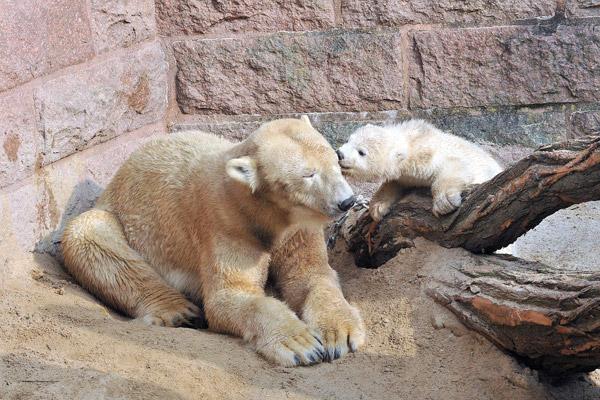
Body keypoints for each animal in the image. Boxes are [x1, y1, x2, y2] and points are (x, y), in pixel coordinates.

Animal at [63, 116, 368, 366]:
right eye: (308, 174)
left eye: (334, 159)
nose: (347, 201)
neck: (262, 211)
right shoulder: (227, 224)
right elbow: (229, 296)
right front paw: (301, 344)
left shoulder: (299, 227)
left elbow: (311, 275)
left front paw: (340, 334)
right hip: (116, 216)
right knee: (89, 236)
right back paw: (179, 311)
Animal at [338, 119, 502, 222]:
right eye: (348, 140)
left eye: (361, 152)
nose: (339, 154)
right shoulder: (405, 174)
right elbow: (393, 183)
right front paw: (378, 207)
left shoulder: (429, 156)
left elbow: (455, 165)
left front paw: (445, 203)